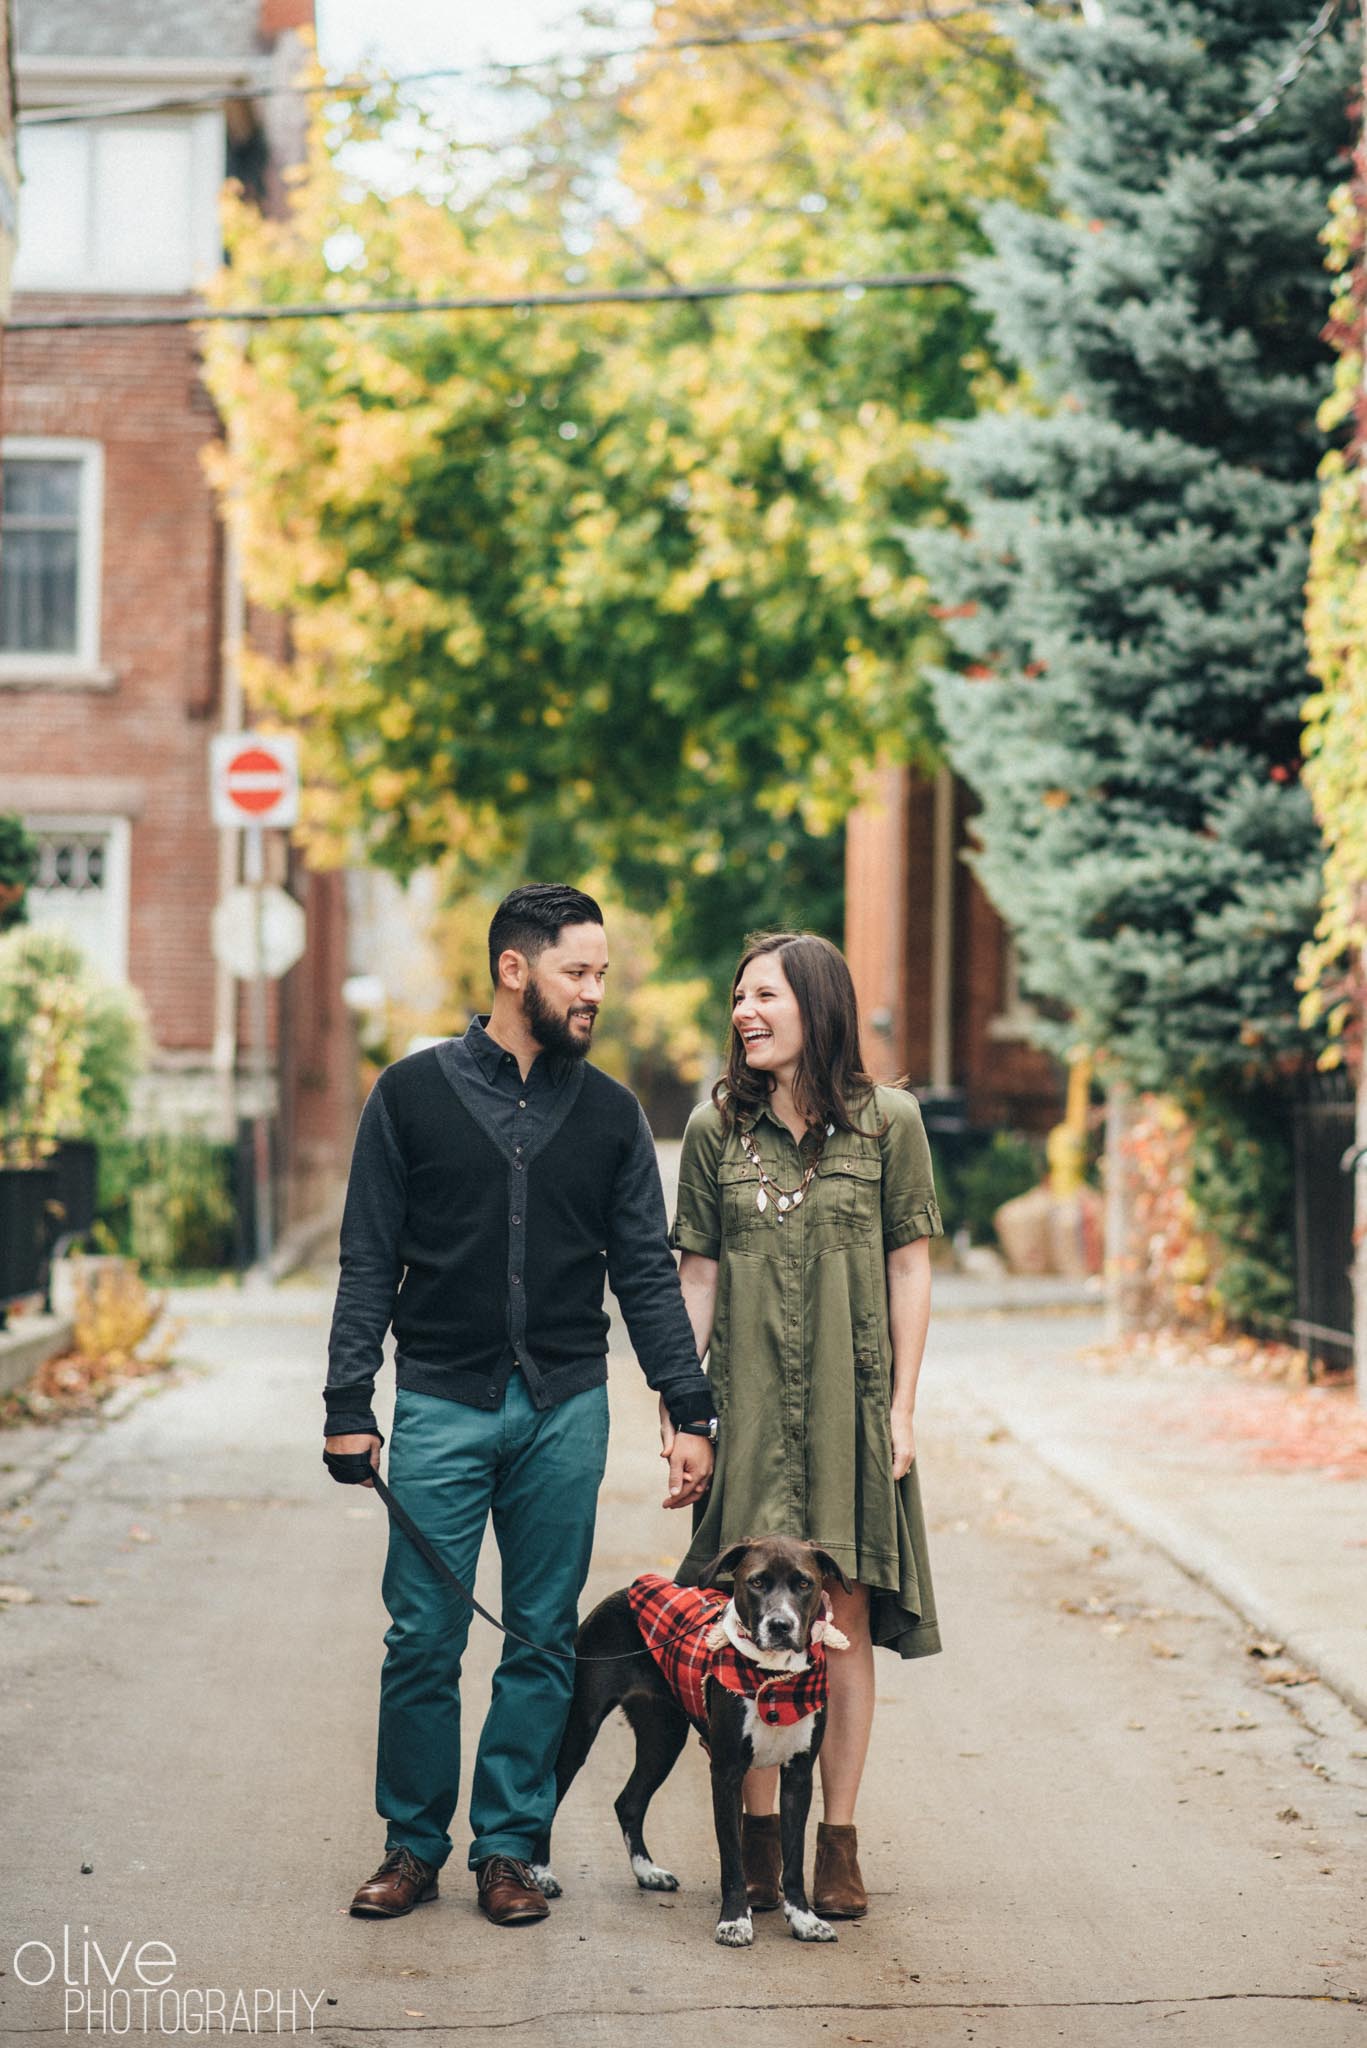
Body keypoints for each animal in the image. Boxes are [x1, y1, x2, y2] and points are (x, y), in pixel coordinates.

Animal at [528, 1540, 848, 1949]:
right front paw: (734, 1922)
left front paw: (805, 1920)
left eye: (804, 1583)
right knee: (552, 1794)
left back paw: (647, 1872)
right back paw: (541, 1875)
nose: (780, 1625)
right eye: (757, 1581)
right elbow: (732, 1860)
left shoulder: (799, 1775)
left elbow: (793, 1857)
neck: (774, 1678)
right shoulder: (726, 1773)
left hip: (663, 1738)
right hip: (580, 1729)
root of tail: (621, 1593)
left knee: (628, 1801)